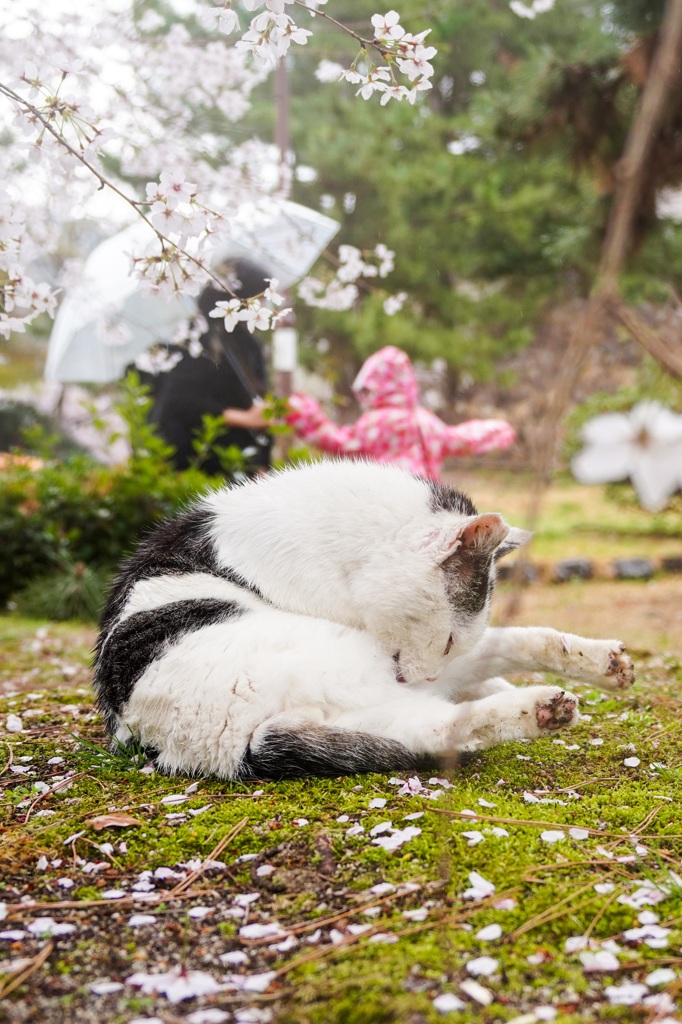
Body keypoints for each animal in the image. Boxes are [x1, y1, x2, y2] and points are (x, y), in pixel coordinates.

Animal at [91, 460, 630, 778]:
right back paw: (543, 705)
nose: (426, 673)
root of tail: (228, 750)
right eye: (448, 638)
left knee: (447, 717)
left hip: (375, 701)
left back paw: (593, 669)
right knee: (449, 718)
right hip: (355, 665)